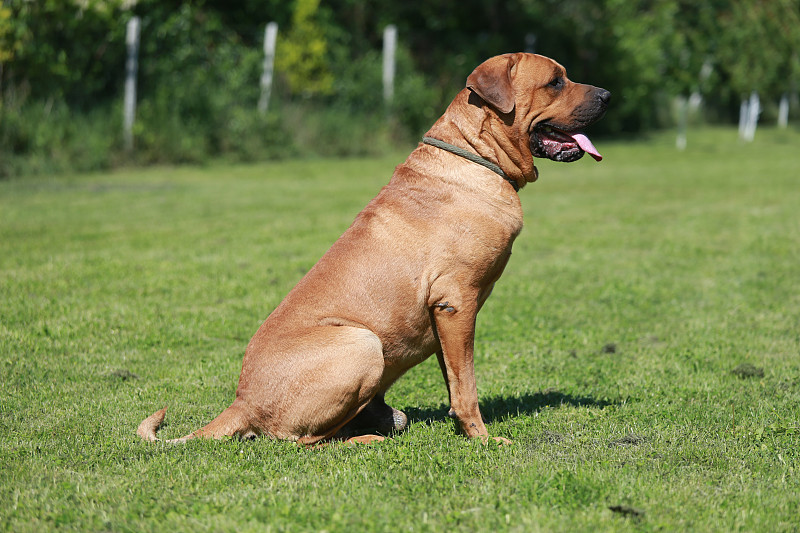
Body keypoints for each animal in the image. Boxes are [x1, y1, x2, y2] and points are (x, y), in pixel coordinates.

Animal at [139, 53, 612, 444]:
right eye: (555, 82)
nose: (608, 94)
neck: (476, 157)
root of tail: (241, 402)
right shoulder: (456, 303)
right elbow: (468, 387)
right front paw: (482, 438)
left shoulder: (447, 319)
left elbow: (454, 379)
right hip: (361, 342)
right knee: (301, 440)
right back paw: (367, 438)